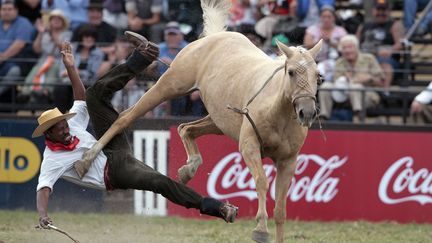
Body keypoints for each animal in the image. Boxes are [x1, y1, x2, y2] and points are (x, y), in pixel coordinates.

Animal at [79, 0, 320, 242]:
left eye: (318, 76)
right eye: (290, 72)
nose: (307, 112)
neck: (276, 111)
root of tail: (214, 37)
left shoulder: (288, 161)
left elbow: (281, 210)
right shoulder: (249, 146)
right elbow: (261, 181)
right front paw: (260, 229)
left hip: (218, 119)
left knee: (186, 128)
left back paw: (189, 168)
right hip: (170, 84)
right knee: (125, 117)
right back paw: (86, 159)